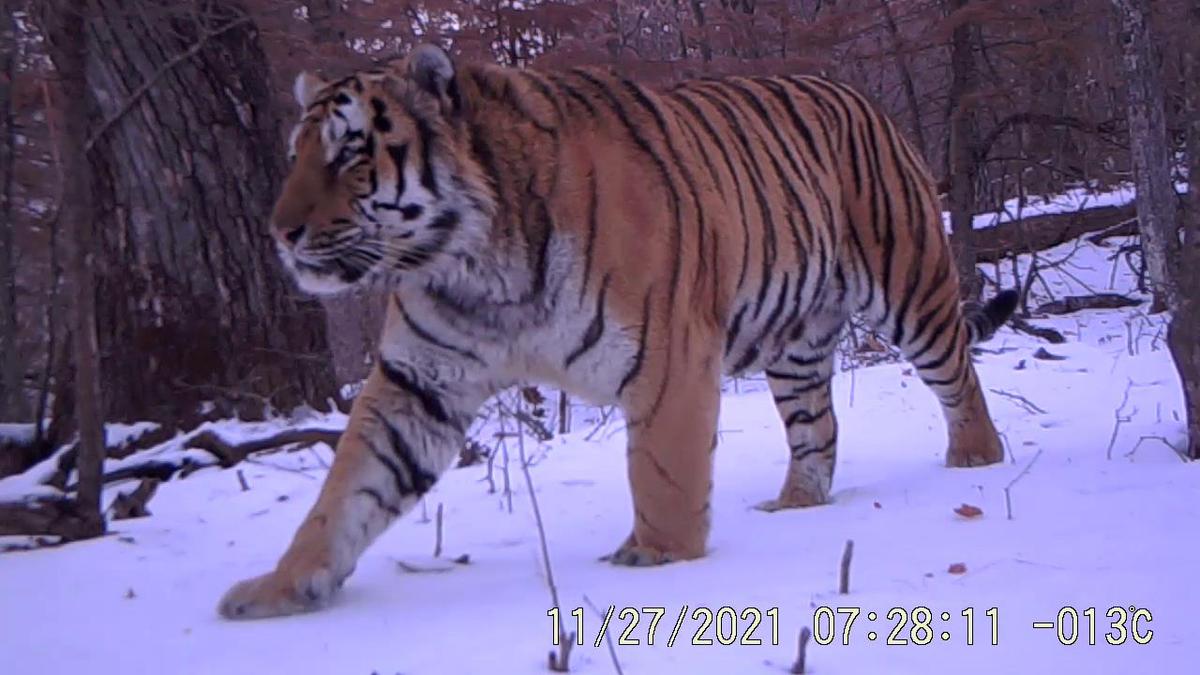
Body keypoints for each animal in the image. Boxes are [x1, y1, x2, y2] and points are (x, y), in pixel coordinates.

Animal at [218, 44, 1019, 619]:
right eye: (295, 154)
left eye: (352, 151)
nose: (280, 233)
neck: (473, 263)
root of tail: (857, 94)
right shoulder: (419, 380)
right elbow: (345, 491)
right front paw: (278, 589)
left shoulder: (670, 353)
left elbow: (661, 472)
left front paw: (653, 564)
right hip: (795, 343)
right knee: (818, 430)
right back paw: (795, 506)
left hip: (908, 283)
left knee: (959, 376)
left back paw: (974, 461)